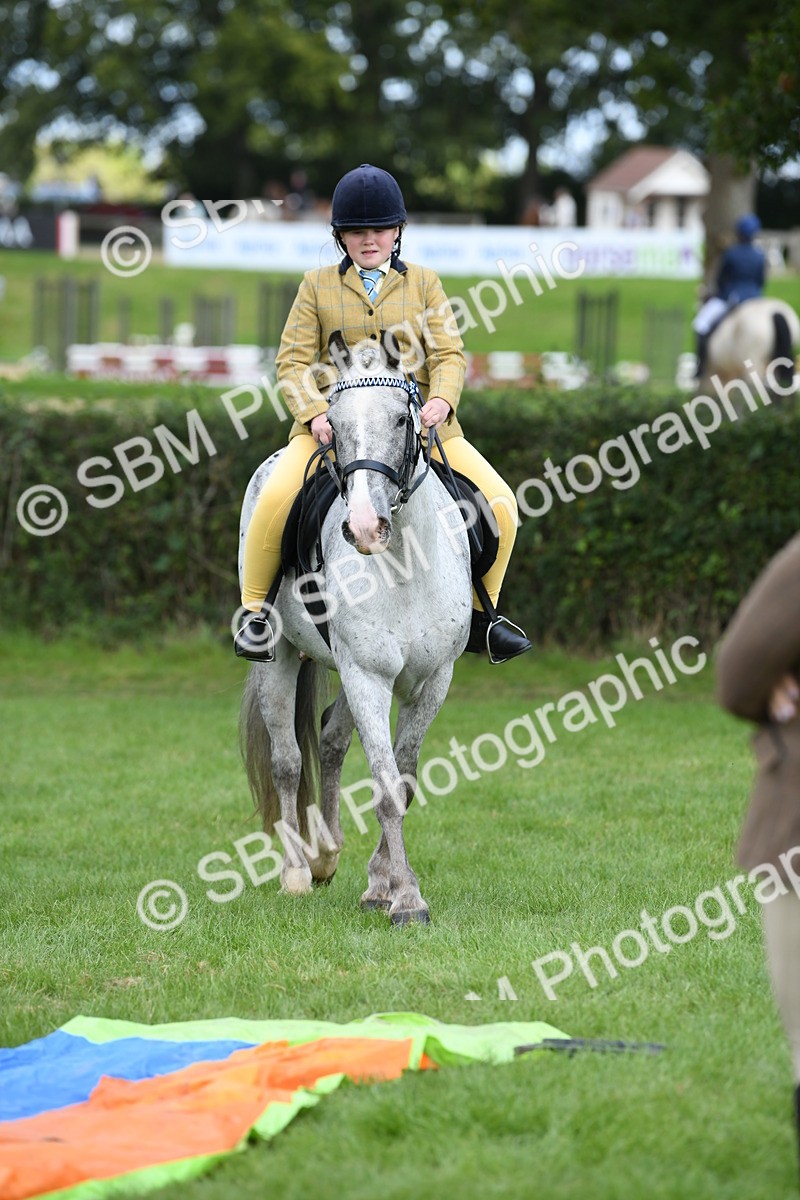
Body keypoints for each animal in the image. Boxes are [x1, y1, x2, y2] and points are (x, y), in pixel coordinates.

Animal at [238, 331, 473, 925]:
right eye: (335, 422)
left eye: (401, 419)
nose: (366, 527)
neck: (406, 566)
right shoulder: (368, 675)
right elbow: (386, 788)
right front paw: (407, 899)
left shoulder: (432, 679)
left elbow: (403, 781)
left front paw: (381, 886)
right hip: (284, 656)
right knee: (288, 760)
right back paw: (298, 871)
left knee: (330, 738)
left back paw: (326, 855)